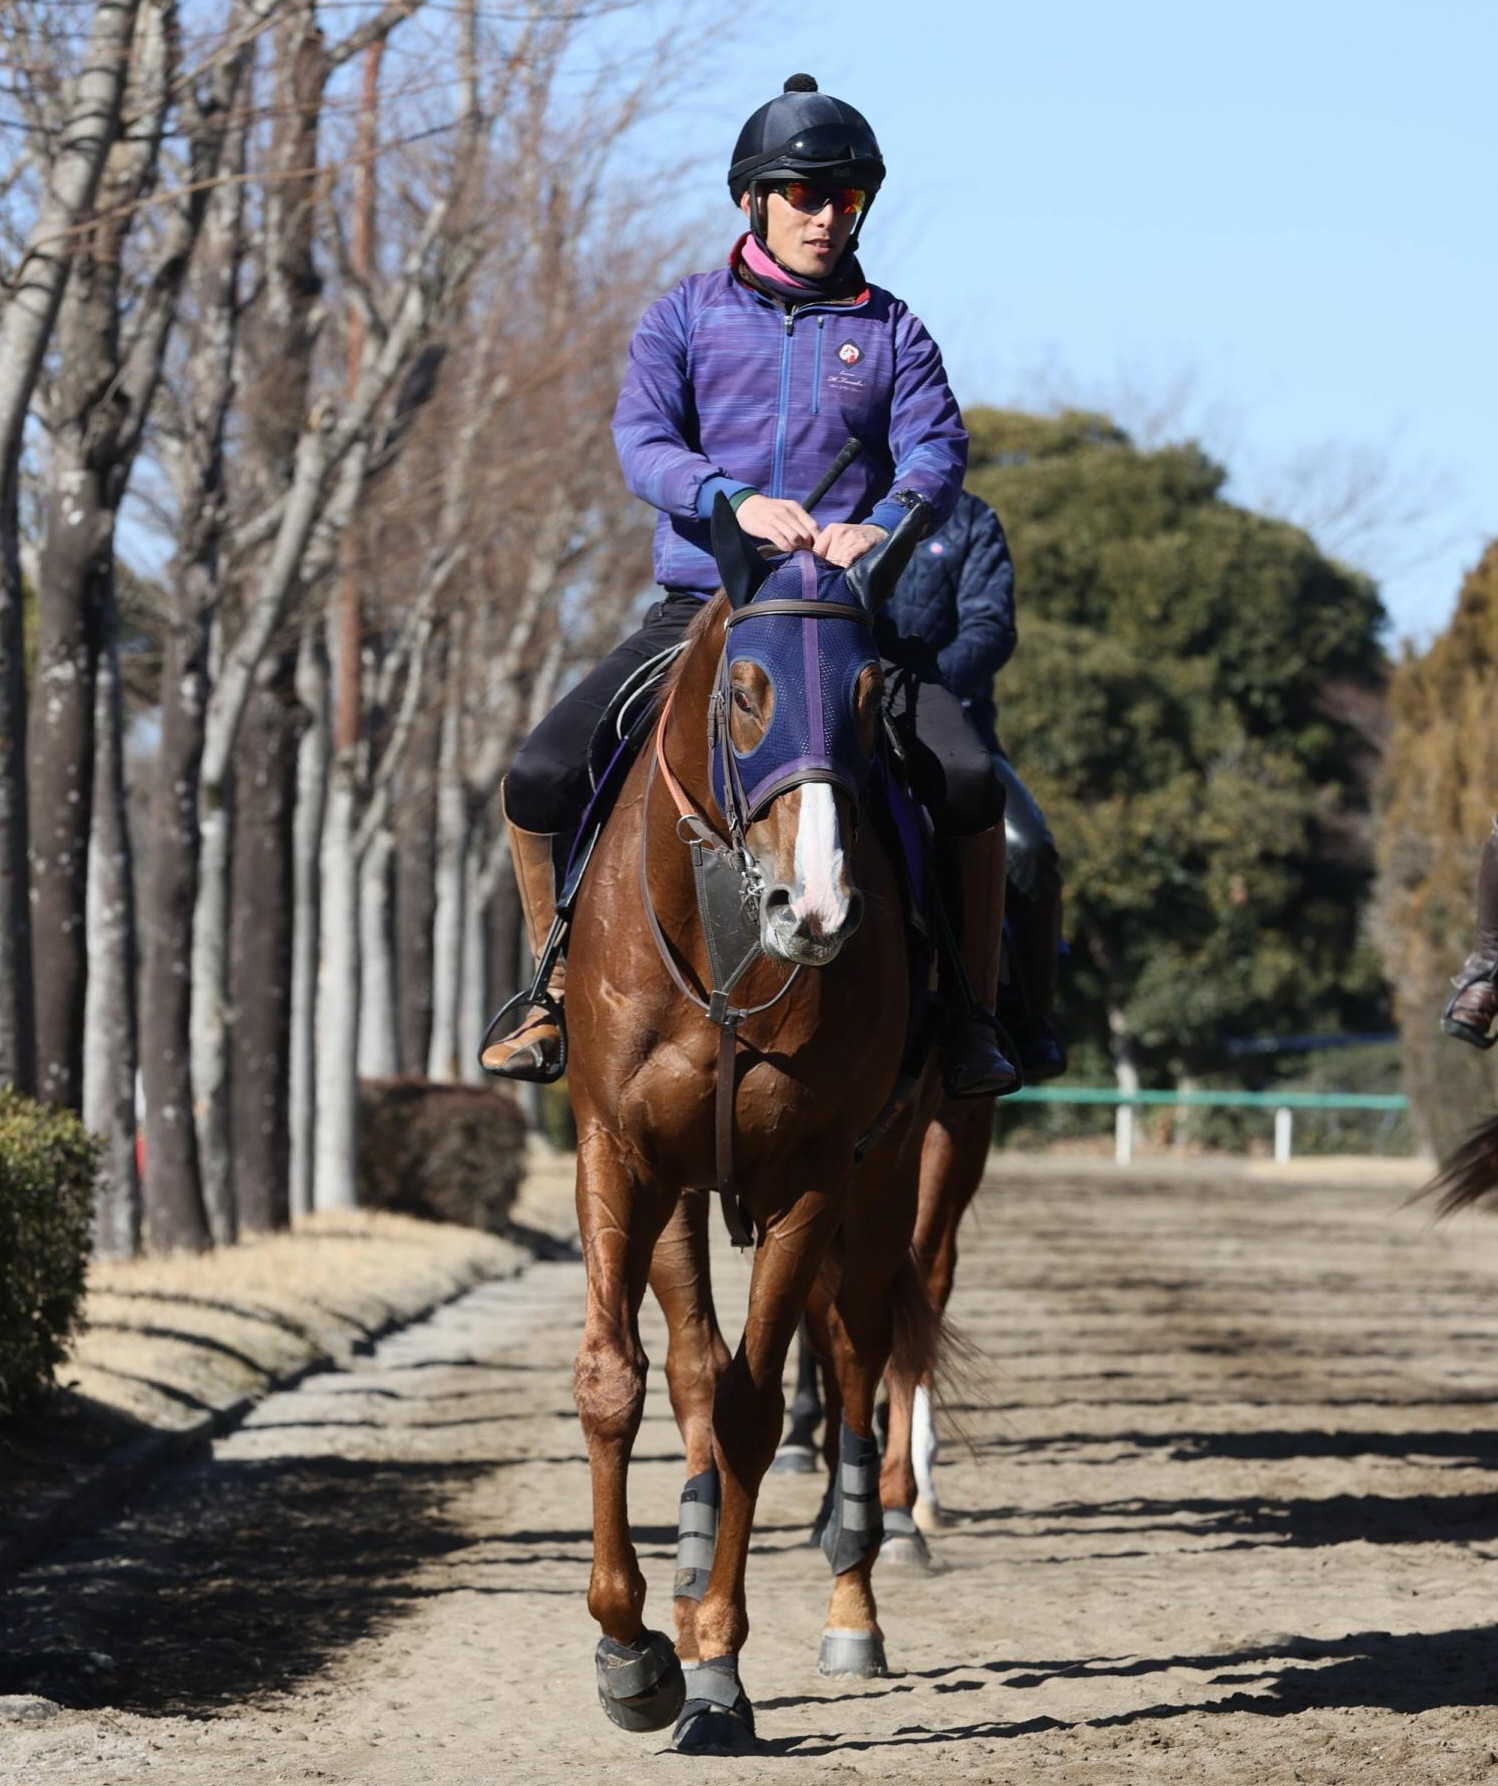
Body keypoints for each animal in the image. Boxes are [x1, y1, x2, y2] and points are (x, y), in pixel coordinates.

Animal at [567, 507, 942, 1757]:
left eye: (871, 694)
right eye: (744, 689)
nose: (816, 906)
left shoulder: (812, 1178)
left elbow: (749, 1403)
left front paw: (717, 1675)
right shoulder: (619, 1152)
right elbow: (619, 1381)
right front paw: (631, 1650)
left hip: (891, 1180)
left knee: (859, 1351)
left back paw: (854, 1601)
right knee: (692, 1358)